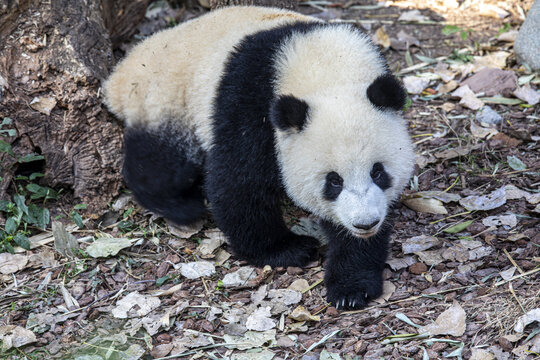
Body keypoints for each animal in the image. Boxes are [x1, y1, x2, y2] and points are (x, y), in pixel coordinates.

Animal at [104, 5, 414, 310]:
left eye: (378, 172)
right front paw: (287, 248)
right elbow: (239, 178)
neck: (325, 66)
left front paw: (351, 285)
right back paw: (182, 206)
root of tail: (120, 75)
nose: (364, 223)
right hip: (166, 100)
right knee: (162, 163)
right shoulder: (251, 97)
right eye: (333, 181)